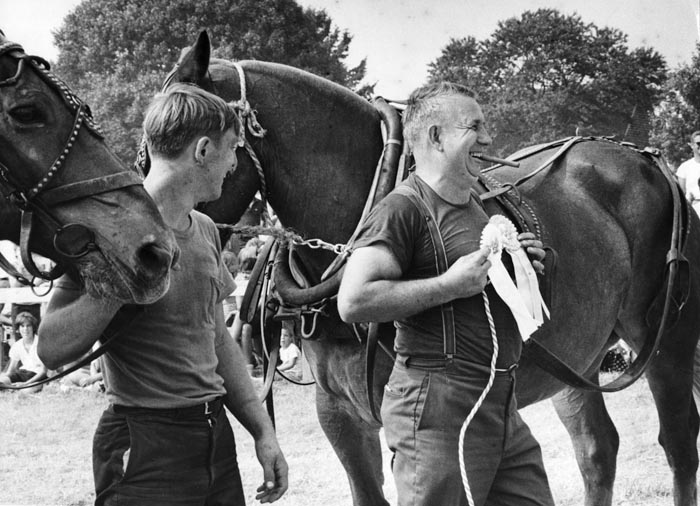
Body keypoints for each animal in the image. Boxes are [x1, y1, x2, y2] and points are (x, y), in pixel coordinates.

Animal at [166, 32, 700, 506]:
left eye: (183, 142)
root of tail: (644, 158)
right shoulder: (338, 413)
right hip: (579, 351)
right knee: (597, 449)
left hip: (665, 340)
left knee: (679, 445)